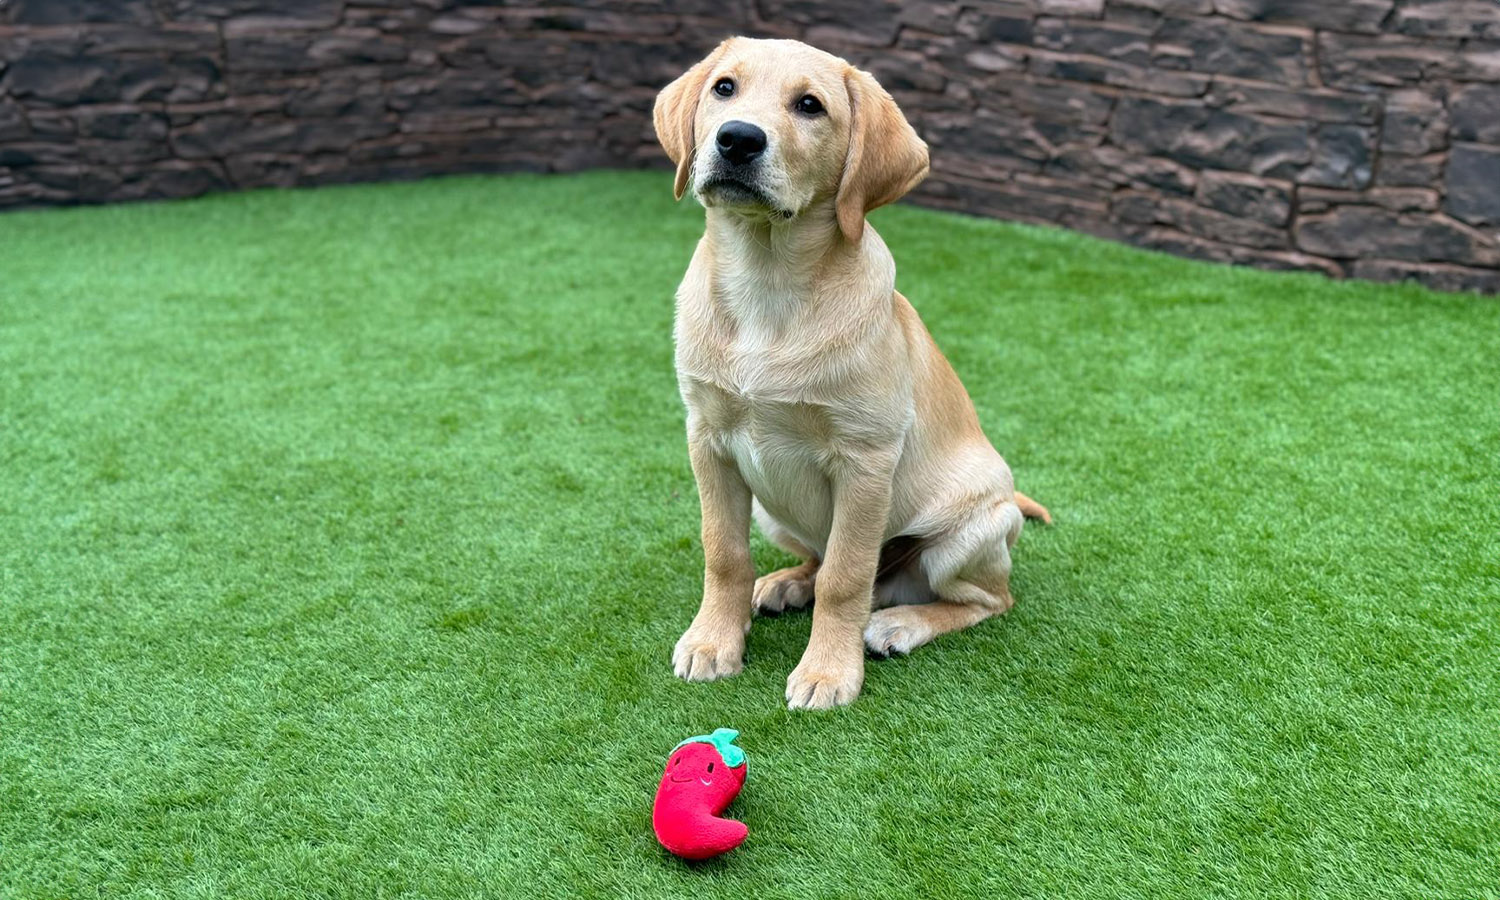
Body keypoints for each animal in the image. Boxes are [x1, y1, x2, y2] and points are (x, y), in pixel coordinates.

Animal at [651, 36, 1050, 711]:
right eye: (724, 88)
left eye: (810, 105)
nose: (737, 139)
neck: (768, 282)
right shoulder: (708, 440)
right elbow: (724, 553)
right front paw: (714, 641)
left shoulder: (864, 461)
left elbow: (846, 575)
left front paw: (827, 672)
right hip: (774, 509)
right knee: (818, 560)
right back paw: (787, 583)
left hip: (971, 532)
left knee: (983, 599)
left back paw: (898, 623)